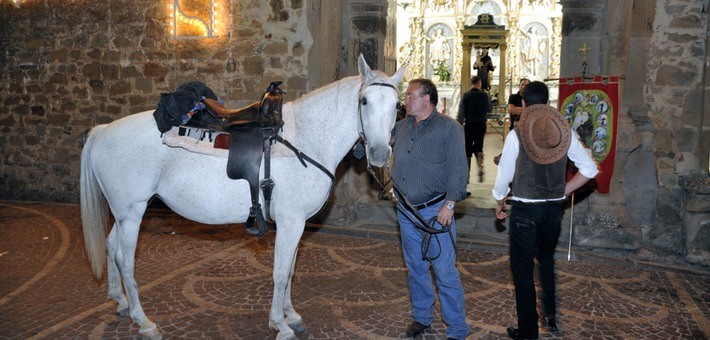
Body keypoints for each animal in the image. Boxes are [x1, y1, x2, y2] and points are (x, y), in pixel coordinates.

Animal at [79, 54, 406, 338]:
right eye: (364, 101)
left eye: (397, 106)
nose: (380, 153)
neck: (306, 138)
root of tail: (103, 130)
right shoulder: (290, 222)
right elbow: (280, 273)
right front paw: (280, 324)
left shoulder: (297, 224)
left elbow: (289, 271)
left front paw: (291, 316)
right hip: (132, 212)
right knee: (125, 260)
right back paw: (144, 322)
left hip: (125, 212)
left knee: (111, 247)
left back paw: (121, 302)